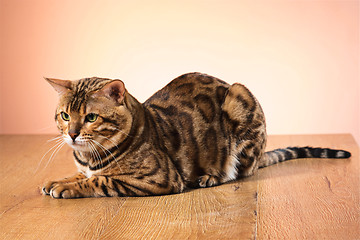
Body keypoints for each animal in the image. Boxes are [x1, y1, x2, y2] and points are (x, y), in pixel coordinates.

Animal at [41, 72, 352, 199]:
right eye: (65, 115)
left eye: (91, 117)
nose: (72, 134)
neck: (89, 155)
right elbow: (82, 174)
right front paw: (60, 180)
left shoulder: (158, 178)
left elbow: (102, 180)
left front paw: (68, 187)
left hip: (240, 97)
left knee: (238, 173)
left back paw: (210, 177)